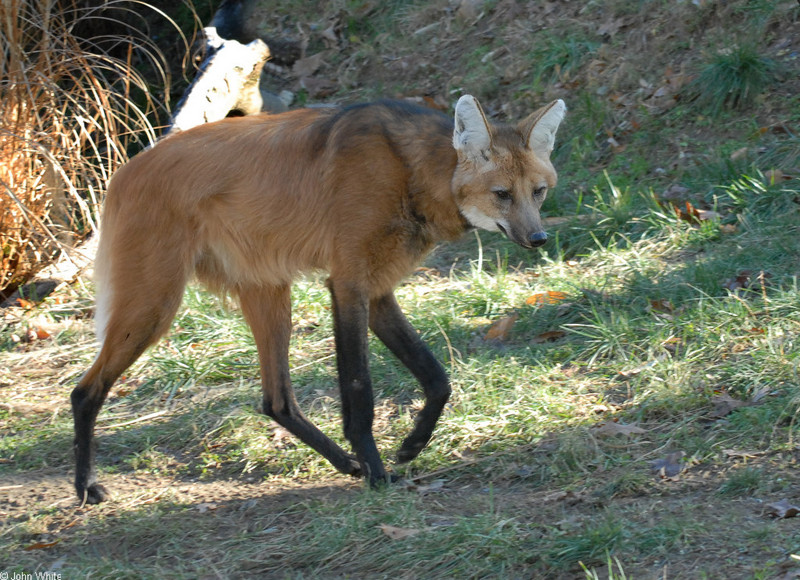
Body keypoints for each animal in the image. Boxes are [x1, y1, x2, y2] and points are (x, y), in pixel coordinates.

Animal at [72, 95, 564, 502]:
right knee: (85, 389)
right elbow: (360, 391)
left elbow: (438, 379)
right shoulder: (348, 284)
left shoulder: (376, 290)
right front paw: (379, 474)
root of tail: (124, 171)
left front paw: (408, 447)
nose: (538, 238)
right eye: (502, 194)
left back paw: (345, 463)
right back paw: (86, 486)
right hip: (153, 304)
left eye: (538, 192)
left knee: (276, 400)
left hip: (268, 291)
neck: (411, 173)